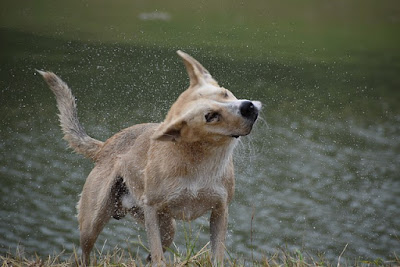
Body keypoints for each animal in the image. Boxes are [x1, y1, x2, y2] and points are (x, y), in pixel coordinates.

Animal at [38, 50, 262, 267]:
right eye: (210, 116)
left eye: (224, 93)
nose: (248, 107)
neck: (199, 159)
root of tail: (105, 146)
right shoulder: (152, 209)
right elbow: (157, 254)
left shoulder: (220, 210)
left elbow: (217, 254)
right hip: (93, 221)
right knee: (84, 254)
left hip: (167, 225)